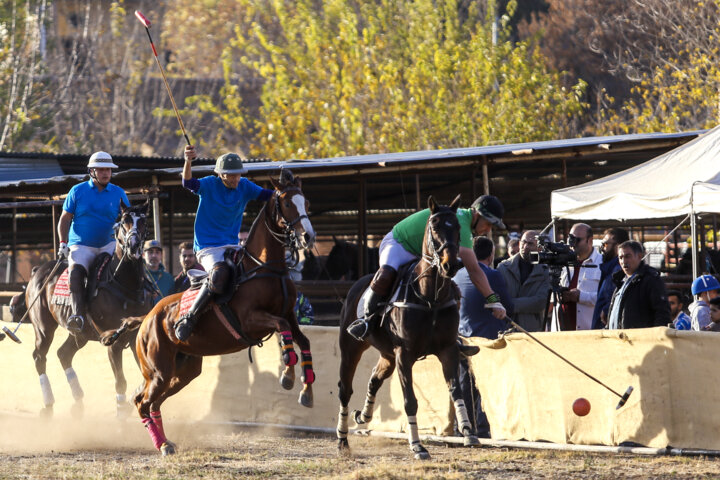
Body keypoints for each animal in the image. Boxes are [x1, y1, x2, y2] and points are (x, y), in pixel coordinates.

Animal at [27, 201, 152, 418]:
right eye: (124, 221)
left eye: (143, 221)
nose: (133, 246)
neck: (125, 284)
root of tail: (38, 270)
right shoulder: (113, 342)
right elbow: (120, 382)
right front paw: (122, 413)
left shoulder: (136, 336)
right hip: (43, 328)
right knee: (39, 357)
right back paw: (49, 405)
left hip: (81, 334)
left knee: (63, 354)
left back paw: (78, 403)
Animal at [101, 171, 316, 456]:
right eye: (288, 203)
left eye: (307, 202)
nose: (308, 237)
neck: (266, 267)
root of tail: (146, 318)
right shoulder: (252, 320)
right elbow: (281, 327)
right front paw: (287, 375)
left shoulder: (290, 314)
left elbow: (303, 339)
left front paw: (306, 390)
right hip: (159, 370)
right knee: (142, 403)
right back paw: (162, 445)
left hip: (182, 371)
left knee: (151, 402)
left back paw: (166, 441)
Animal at [336, 194, 480, 458]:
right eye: (435, 227)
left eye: (456, 228)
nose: (451, 265)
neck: (430, 297)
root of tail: (356, 285)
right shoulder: (405, 354)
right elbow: (410, 401)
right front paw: (417, 446)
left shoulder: (447, 349)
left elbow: (455, 390)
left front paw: (468, 432)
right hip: (351, 348)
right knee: (345, 389)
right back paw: (342, 440)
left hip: (387, 353)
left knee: (374, 378)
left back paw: (364, 416)